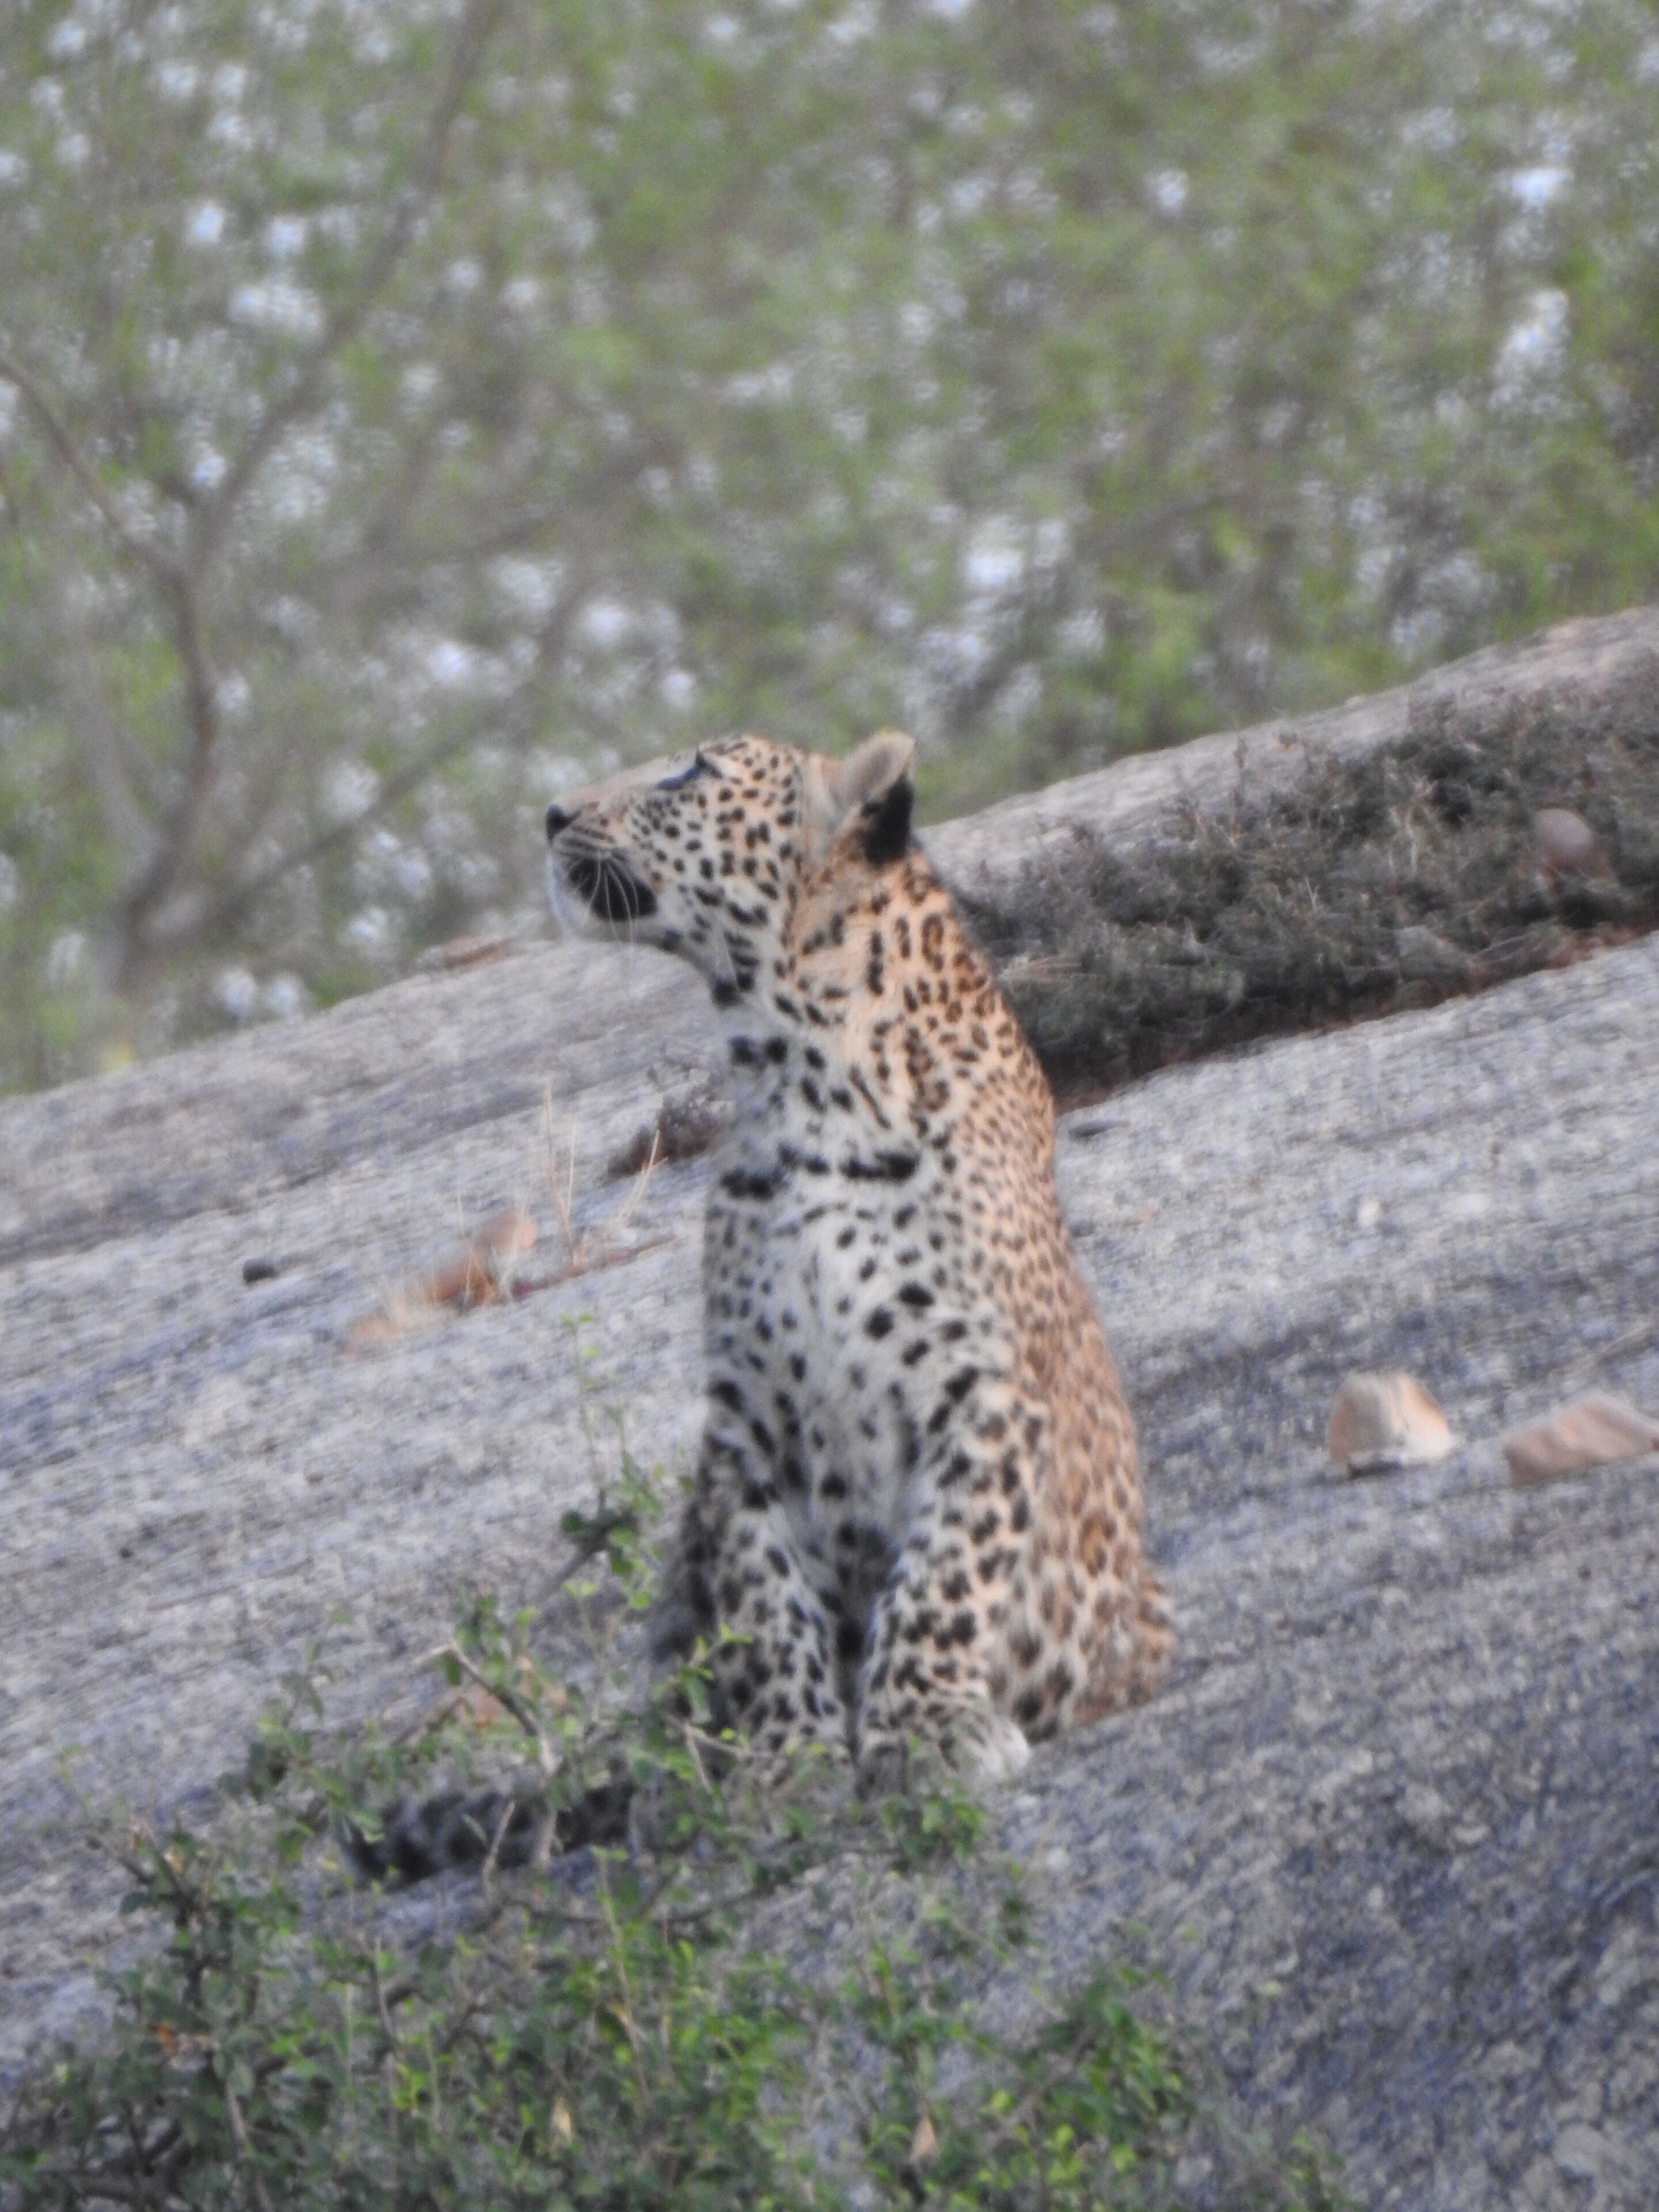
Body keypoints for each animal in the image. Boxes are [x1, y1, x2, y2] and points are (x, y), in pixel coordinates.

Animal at [545, 729, 1172, 1793]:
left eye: (689, 773)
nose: (551, 814)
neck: (792, 1073)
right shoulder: (745, 1423)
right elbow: (762, 1602)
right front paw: (787, 1756)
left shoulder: (984, 1393)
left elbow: (944, 1576)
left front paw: (925, 1728)